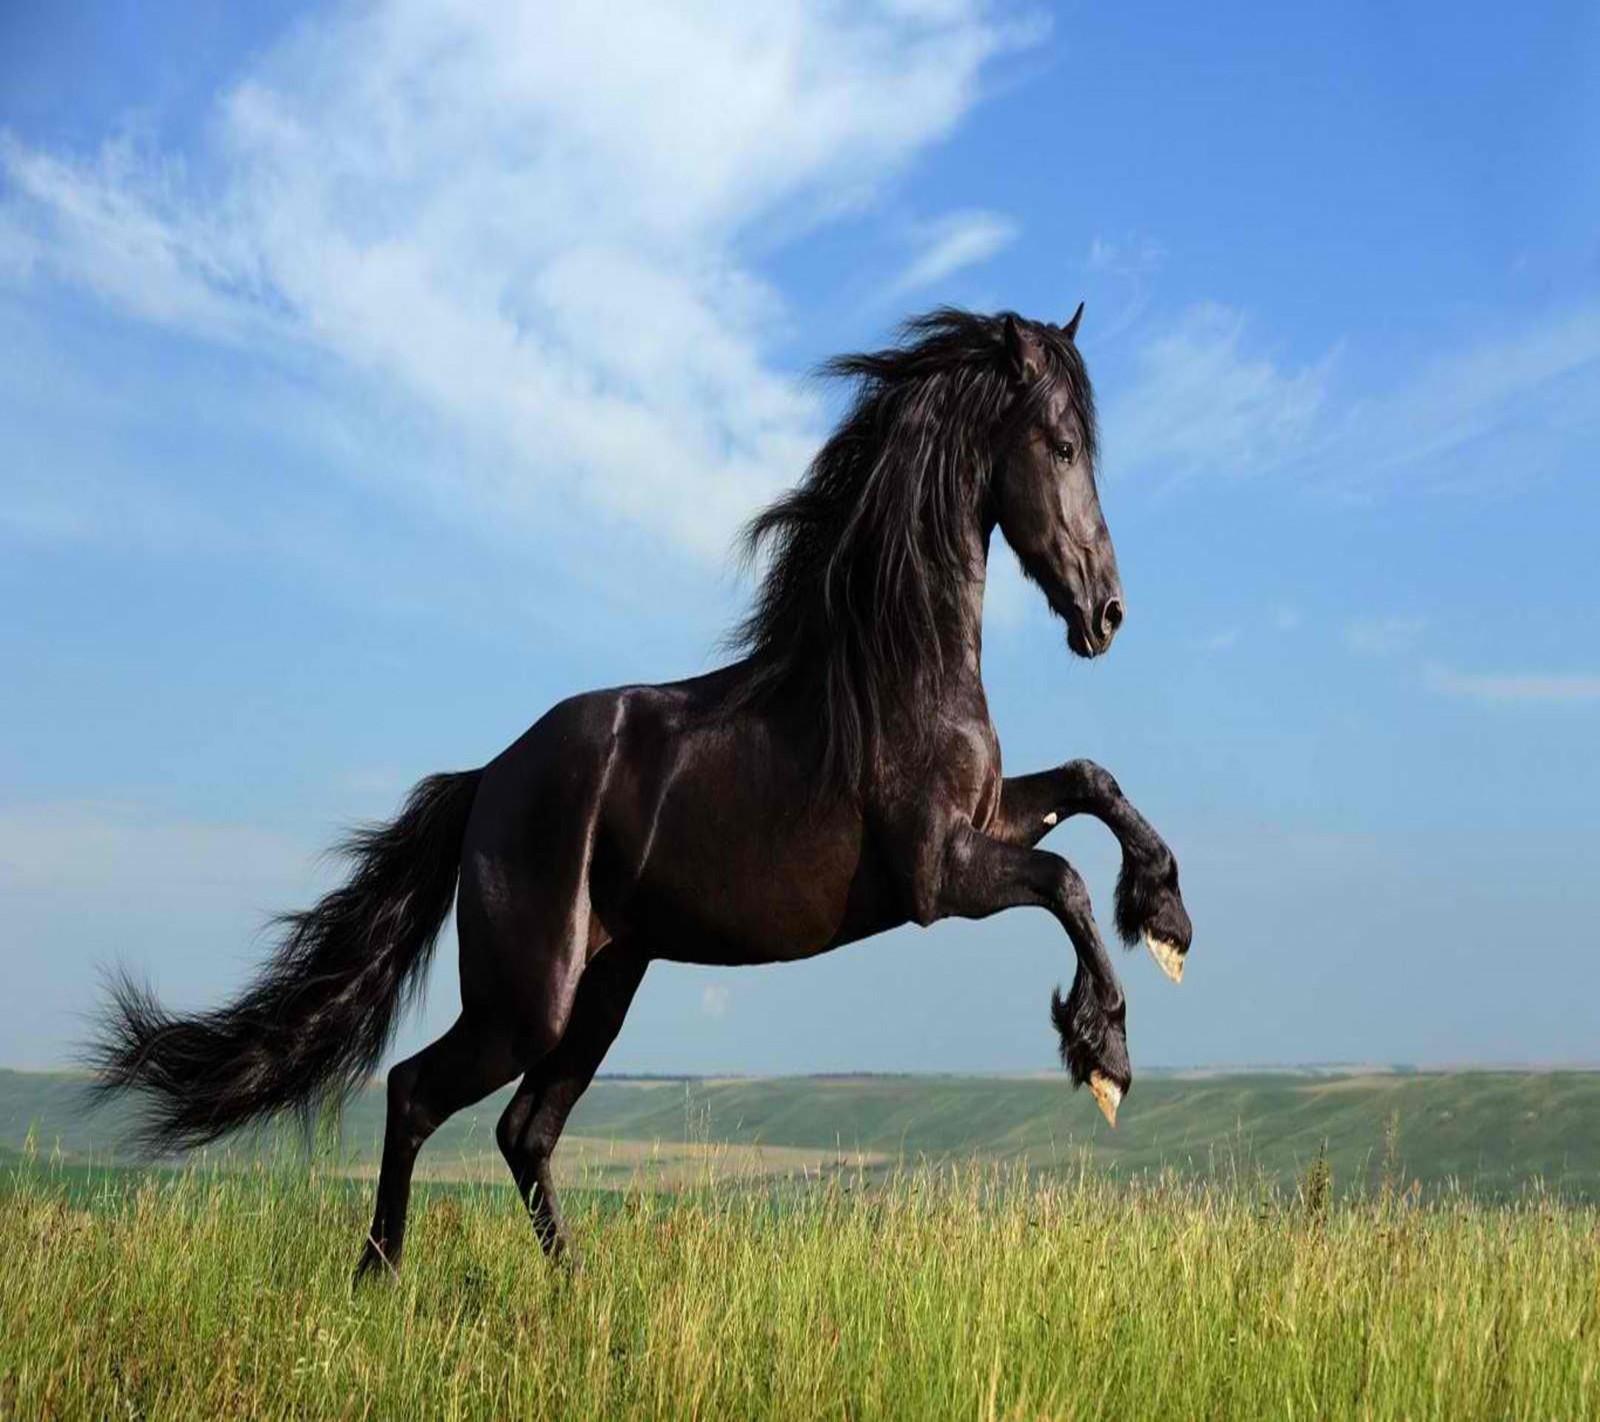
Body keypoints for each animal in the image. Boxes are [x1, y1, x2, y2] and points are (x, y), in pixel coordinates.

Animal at [87, 308, 1190, 1273]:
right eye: (1060, 445)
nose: (1107, 612)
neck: (894, 671)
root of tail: (486, 783)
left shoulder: (986, 817)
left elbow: (1090, 784)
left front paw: (1166, 917)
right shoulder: (938, 876)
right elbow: (1063, 880)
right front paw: (1103, 1053)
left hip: (603, 990)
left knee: (524, 1130)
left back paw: (577, 1289)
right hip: (525, 1002)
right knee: (415, 1093)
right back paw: (380, 1278)